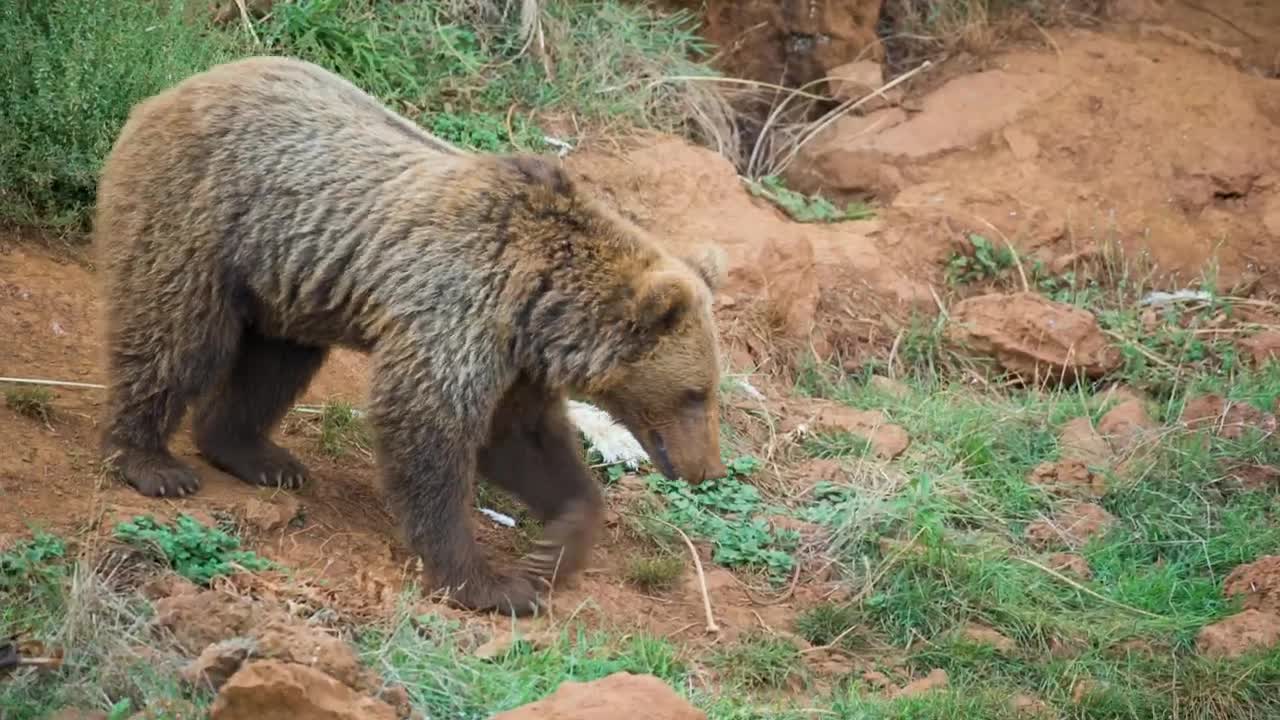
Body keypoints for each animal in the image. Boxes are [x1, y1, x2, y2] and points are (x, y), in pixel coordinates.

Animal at [92, 56, 729, 616]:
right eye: (697, 393)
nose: (708, 469)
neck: (539, 305)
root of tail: (170, 90)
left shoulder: (515, 358)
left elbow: (519, 439)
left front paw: (553, 552)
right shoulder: (459, 308)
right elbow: (428, 429)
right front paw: (486, 583)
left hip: (288, 283)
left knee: (275, 363)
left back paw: (259, 455)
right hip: (203, 212)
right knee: (177, 334)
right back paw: (152, 462)